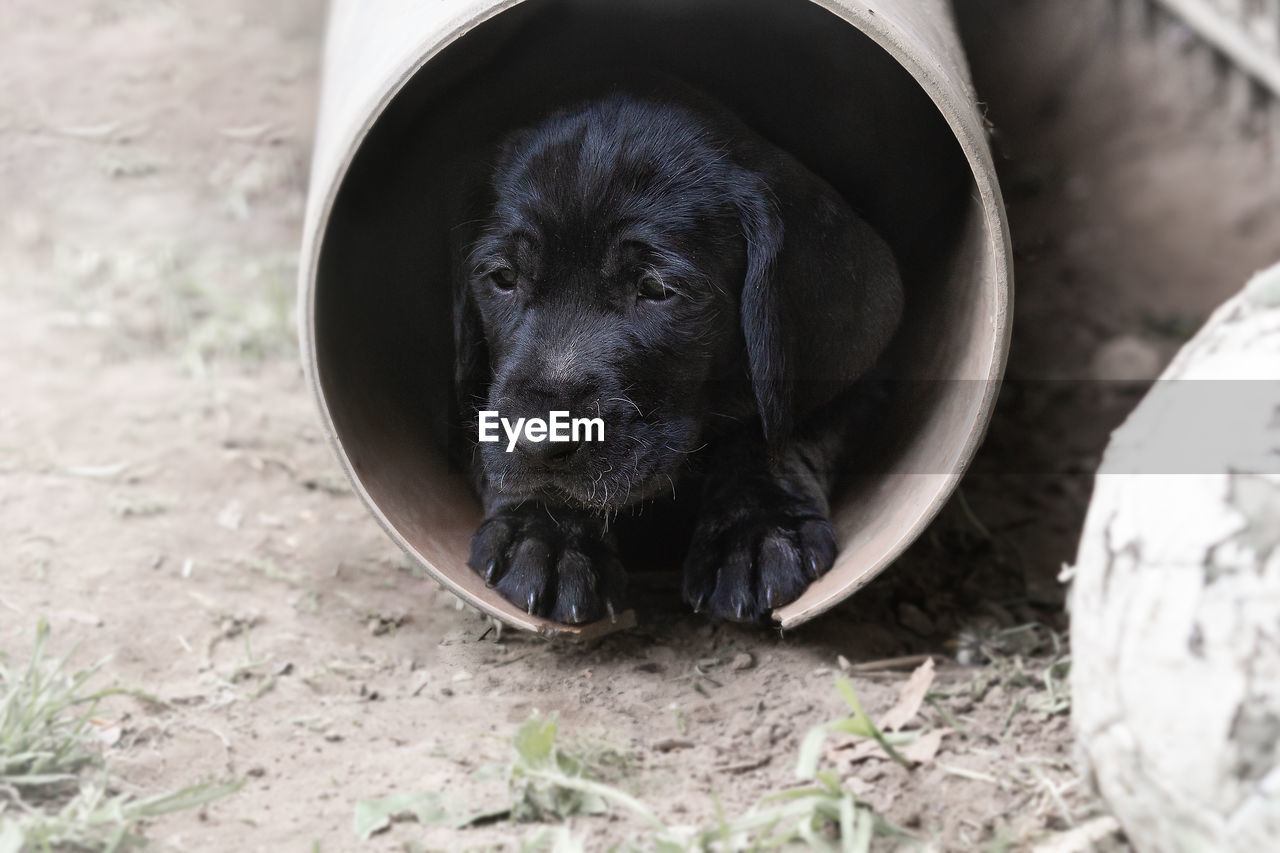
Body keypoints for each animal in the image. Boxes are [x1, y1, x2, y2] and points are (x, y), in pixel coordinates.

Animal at [450, 94, 901, 625]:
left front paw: (756, 528)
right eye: (503, 277)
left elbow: (779, 430)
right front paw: (544, 531)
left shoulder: (855, 379)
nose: (542, 440)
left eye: (656, 289)